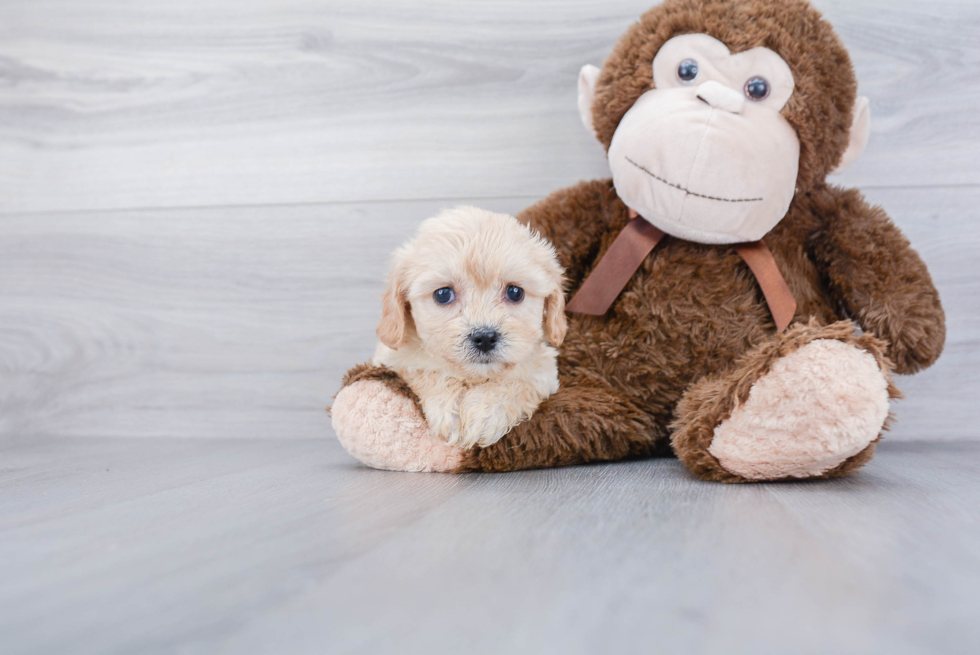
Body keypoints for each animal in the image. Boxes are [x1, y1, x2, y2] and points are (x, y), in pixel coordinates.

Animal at [372, 208, 568, 448]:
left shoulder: (543, 371)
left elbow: (518, 383)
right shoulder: (394, 360)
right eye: (443, 294)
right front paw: (452, 407)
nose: (484, 337)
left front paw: (485, 412)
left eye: (515, 292)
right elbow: (427, 371)